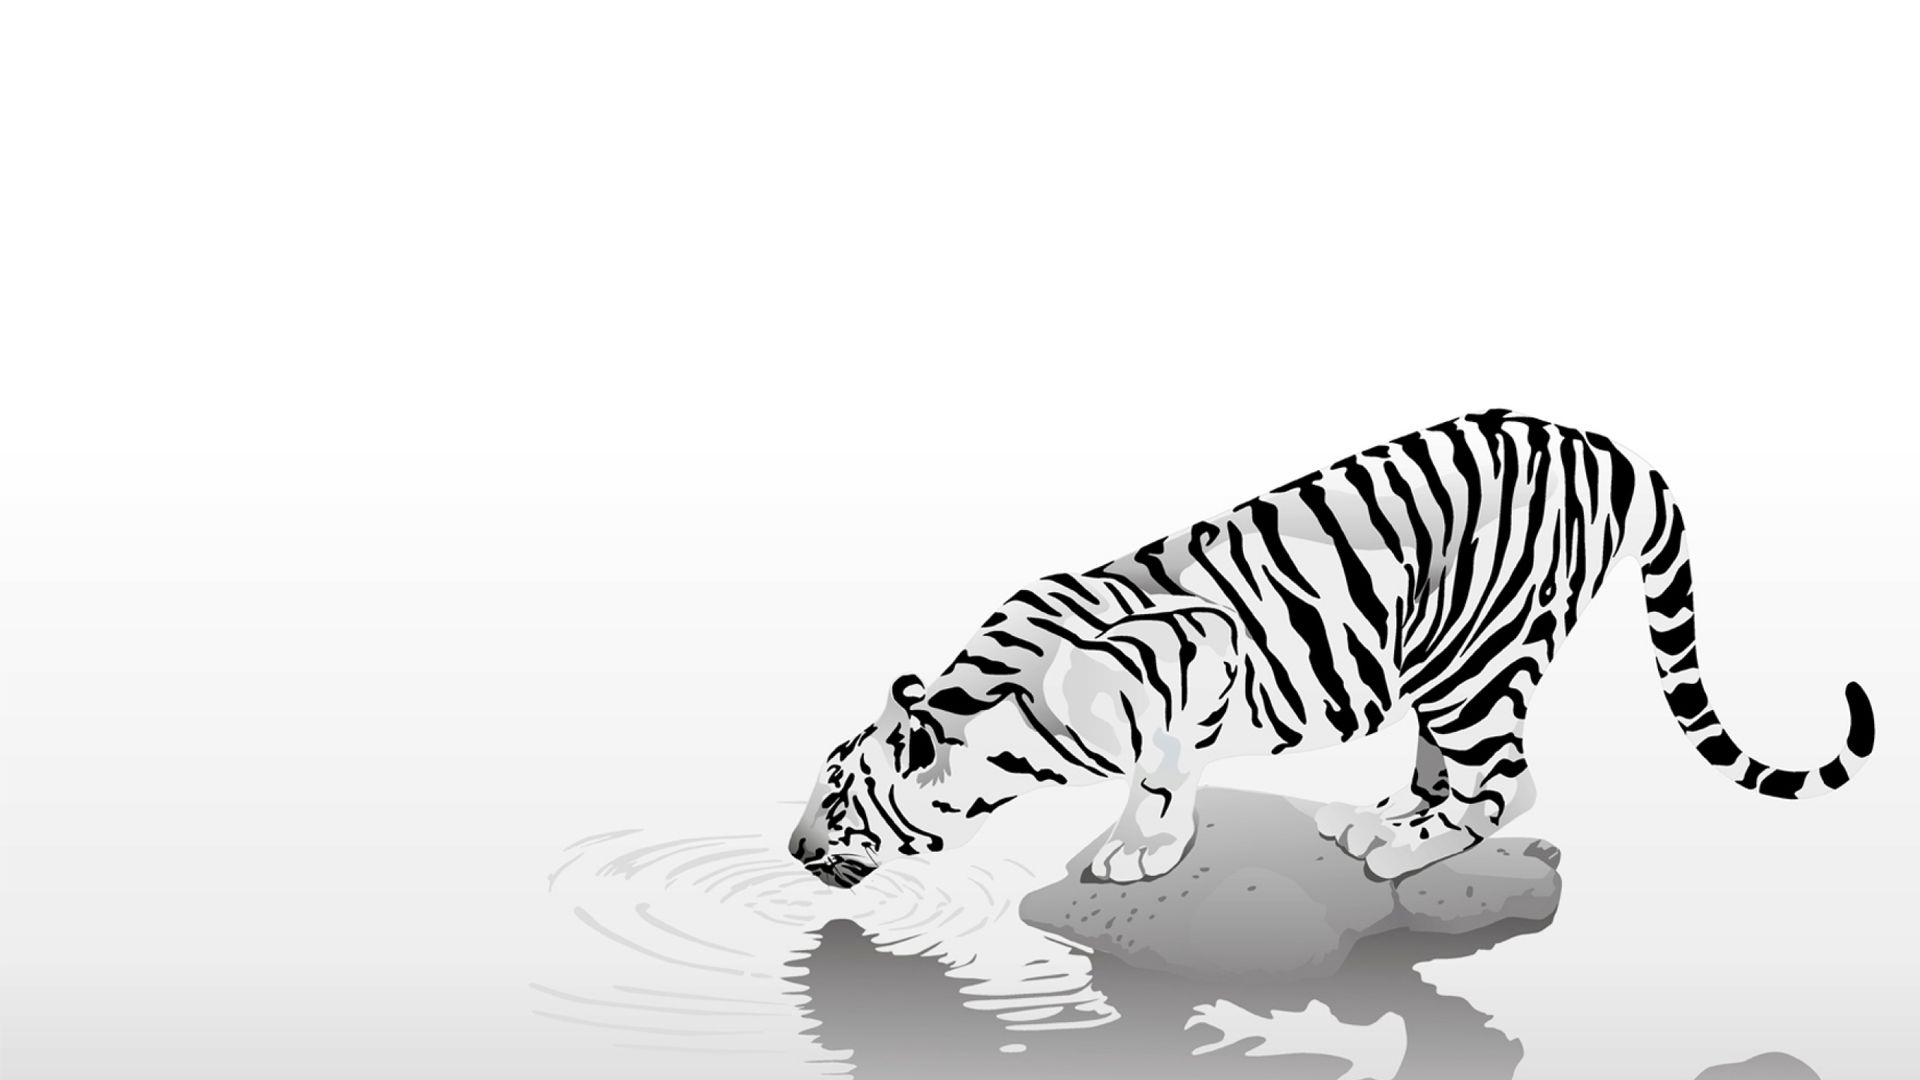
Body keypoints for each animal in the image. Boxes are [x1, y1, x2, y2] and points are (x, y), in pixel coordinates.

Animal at [788, 410, 1875, 888]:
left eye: (839, 800)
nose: (793, 849)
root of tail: (1598, 442)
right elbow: (1164, 772)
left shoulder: (1197, 653)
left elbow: (1164, 775)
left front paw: (1143, 850)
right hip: (1444, 659)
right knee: (1451, 763)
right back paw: (1381, 813)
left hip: (1476, 660)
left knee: (1508, 784)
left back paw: (1404, 848)